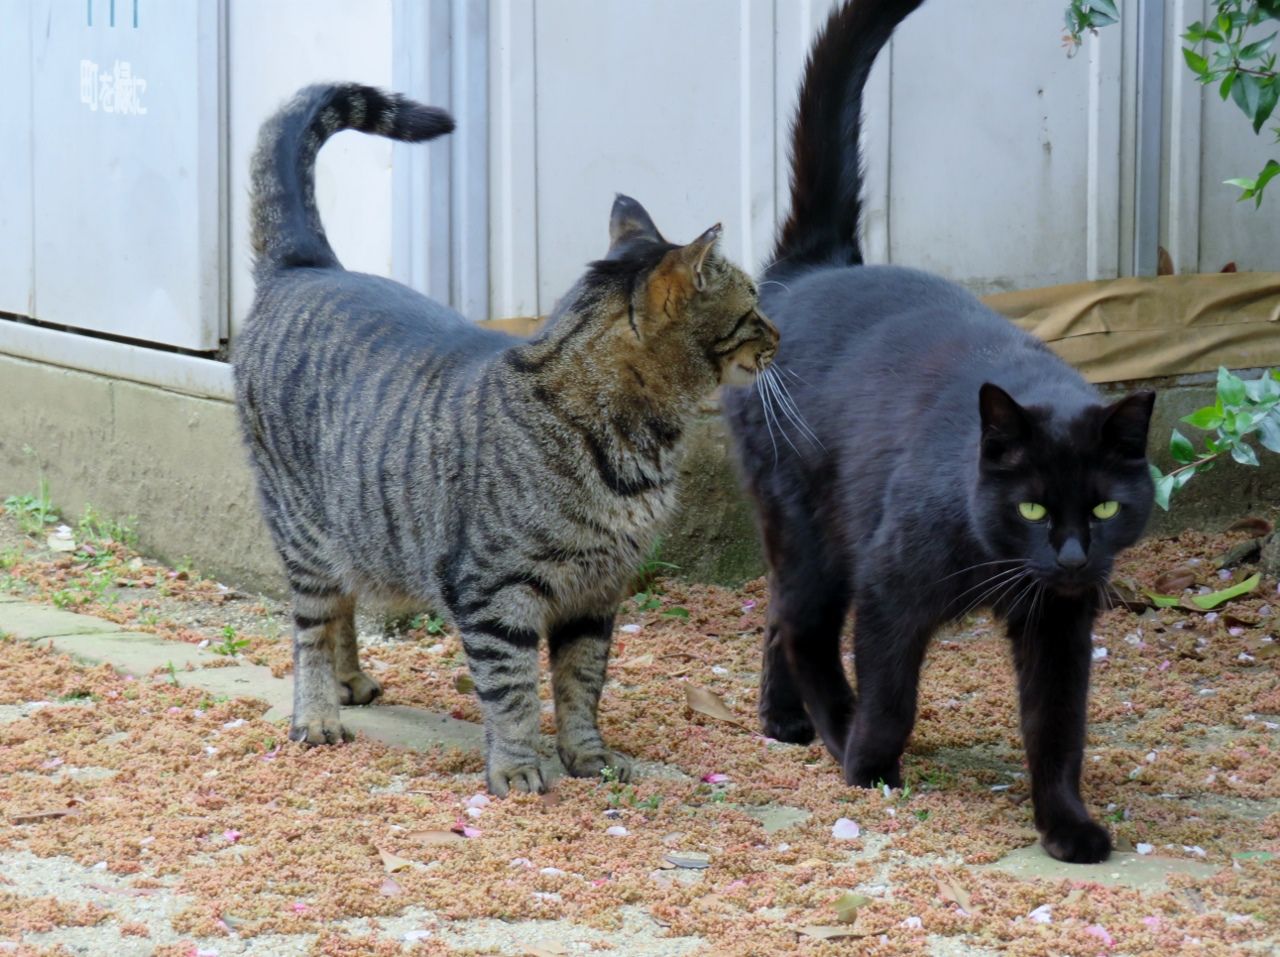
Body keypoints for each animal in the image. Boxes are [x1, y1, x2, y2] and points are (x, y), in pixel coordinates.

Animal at [236, 83, 778, 793]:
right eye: (752, 309)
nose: (780, 337)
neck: (635, 445)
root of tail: (307, 267)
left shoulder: (597, 594)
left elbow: (581, 684)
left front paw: (588, 756)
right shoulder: (495, 591)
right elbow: (514, 688)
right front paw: (518, 769)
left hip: (354, 526)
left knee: (345, 604)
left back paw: (353, 680)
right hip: (303, 530)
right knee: (311, 629)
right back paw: (319, 713)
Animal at [727, 0, 1157, 864]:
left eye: (1103, 508)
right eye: (1032, 505)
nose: (1071, 555)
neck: (998, 553)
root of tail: (810, 270)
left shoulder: (1061, 622)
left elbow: (1059, 729)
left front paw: (1067, 825)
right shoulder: (892, 585)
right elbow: (893, 691)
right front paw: (869, 762)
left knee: (779, 613)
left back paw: (784, 722)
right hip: (813, 527)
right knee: (805, 626)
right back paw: (833, 730)